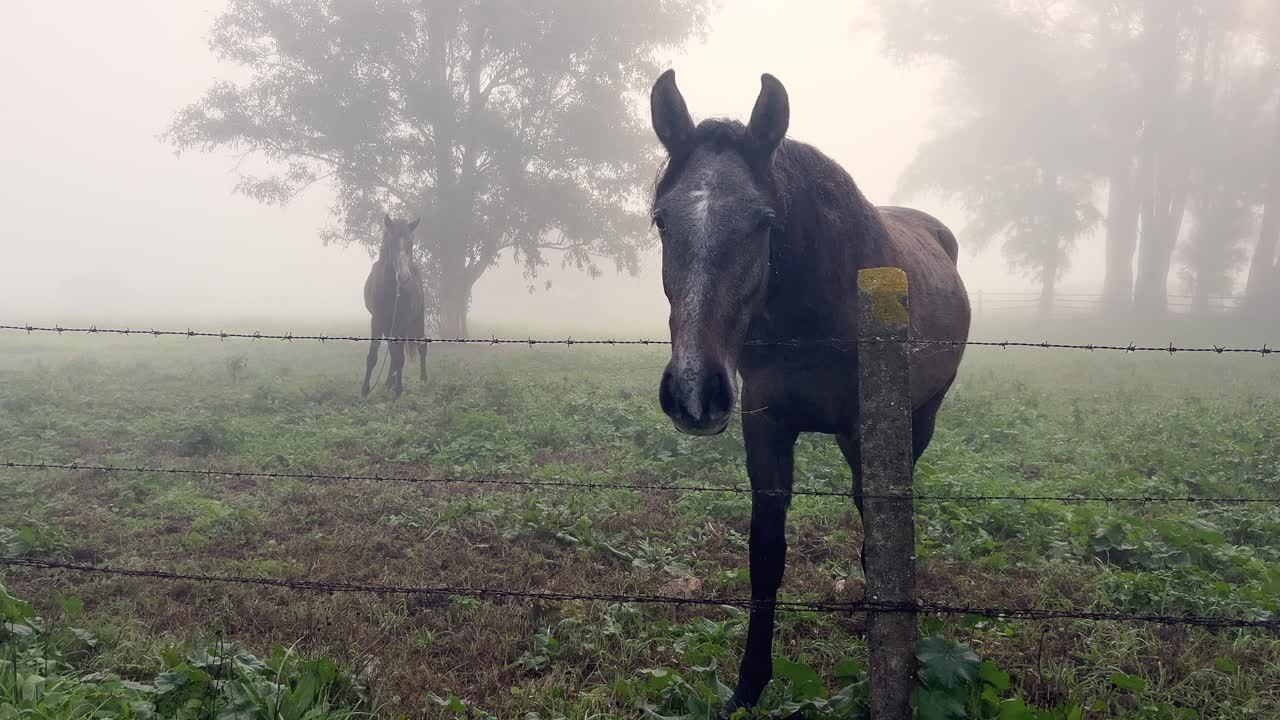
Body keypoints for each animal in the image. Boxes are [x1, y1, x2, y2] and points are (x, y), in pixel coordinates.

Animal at [361, 214, 429, 399]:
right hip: (389, 326)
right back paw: (388, 384)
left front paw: (398, 390)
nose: (404, 277)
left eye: (410, 243)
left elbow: (400, 358)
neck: (391, 289)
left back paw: (423, 381)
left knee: (421, 347)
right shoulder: (377, 321)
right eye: (391, 243)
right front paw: (365, 389)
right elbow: (373, 356)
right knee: (393, 351)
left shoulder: (403, 321)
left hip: (417, 319)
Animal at [648, 70, 971, 713]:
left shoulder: (870, 431)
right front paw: (748, 685)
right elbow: (766, 554)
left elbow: (880, 536)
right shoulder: (765, 425)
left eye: (764, 222)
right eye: (662, 221)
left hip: (918, 421)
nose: (694, 390)